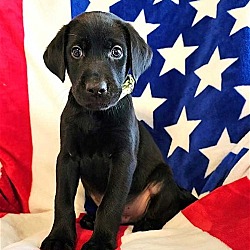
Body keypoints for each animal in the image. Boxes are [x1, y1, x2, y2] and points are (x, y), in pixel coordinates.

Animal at [41, 11, 196, 250]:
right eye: (76, 52)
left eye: (116, 52)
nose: (96, 89)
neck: (94, 117)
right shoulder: (67, 157)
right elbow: (63, 201)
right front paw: (59, 238)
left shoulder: (123, 159)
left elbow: (111, 202)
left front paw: (100, 242)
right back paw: (90, 219)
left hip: (162, 179)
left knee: (167, 210)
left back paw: (146, 224)